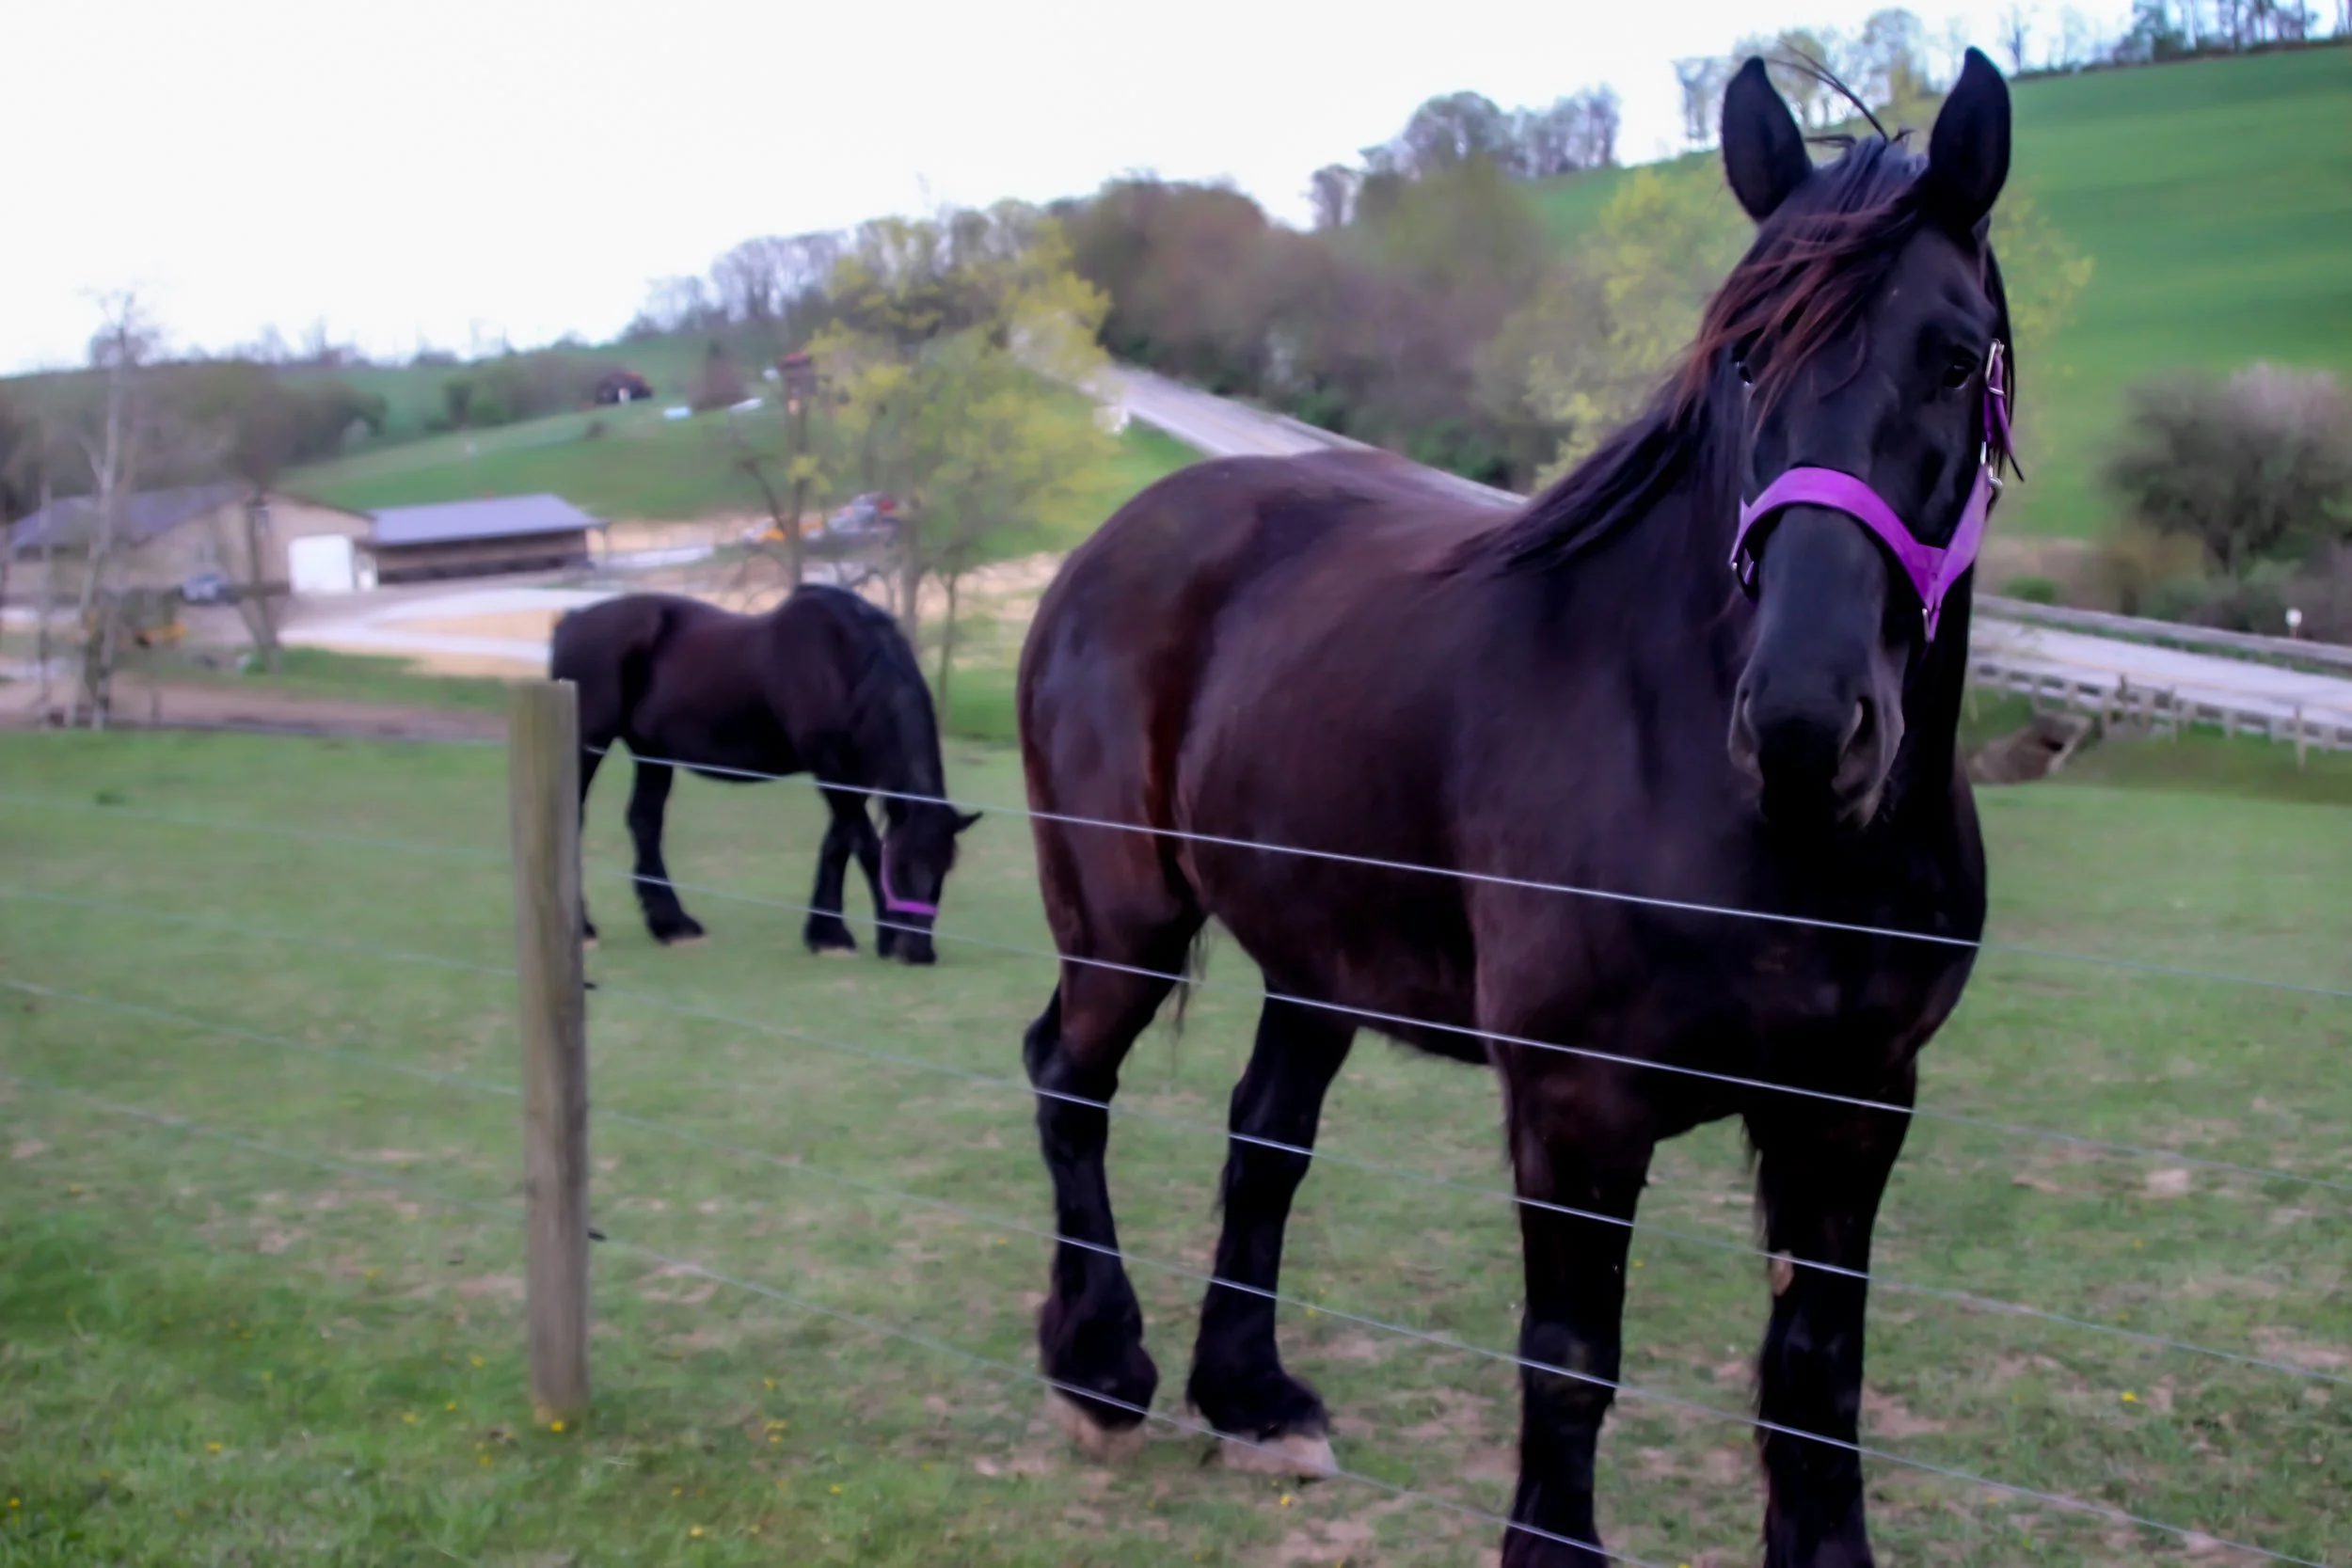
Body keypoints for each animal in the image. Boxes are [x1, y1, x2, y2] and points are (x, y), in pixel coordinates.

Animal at [549, 583, 979, 965]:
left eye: (945, 868)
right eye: (901, 867)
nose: (919, 952)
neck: (841, 660)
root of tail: (573, 619)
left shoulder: (855, 774)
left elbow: (838, 844)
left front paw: (827, 936)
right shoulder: (828, 766)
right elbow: (865, 845)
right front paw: (875, 938)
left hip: (652, 752)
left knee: (645, 823)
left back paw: (673, 926)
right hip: (589, 744)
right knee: (576, 820)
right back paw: (586, 930)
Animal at [1014, 53, 2015, 1567]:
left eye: (1954, 359)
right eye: (1740, 358)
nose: (1801, 723)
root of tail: (1106, 548)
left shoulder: (1855, 1103)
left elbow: (1816, 1370)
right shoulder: (1575, 1104)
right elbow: (1570, 1358)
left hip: (1315, 959)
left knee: (1264, 1138)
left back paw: (1249, 1394)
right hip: (1122, 926)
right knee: (1071, 1083)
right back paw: (1098, 1367)